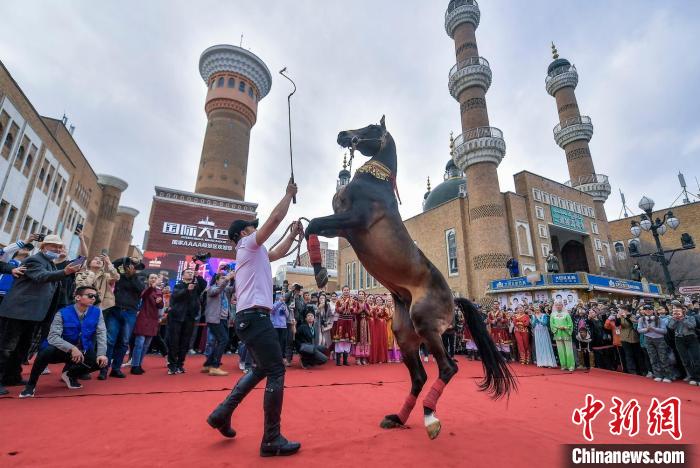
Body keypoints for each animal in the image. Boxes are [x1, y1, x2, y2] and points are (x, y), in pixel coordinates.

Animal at [304, 116, 516, 438]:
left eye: (371, 127)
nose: (343, 134)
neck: (374, 184)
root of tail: (453, 299)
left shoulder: (354, 220)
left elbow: (313, 223)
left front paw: (317, 272)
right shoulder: (342, 228)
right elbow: (311, 226)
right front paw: (317, 270)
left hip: (426, 323)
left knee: (448, 368)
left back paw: (430, 418)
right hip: (405, 334)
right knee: (419, 376)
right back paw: (398, 417)